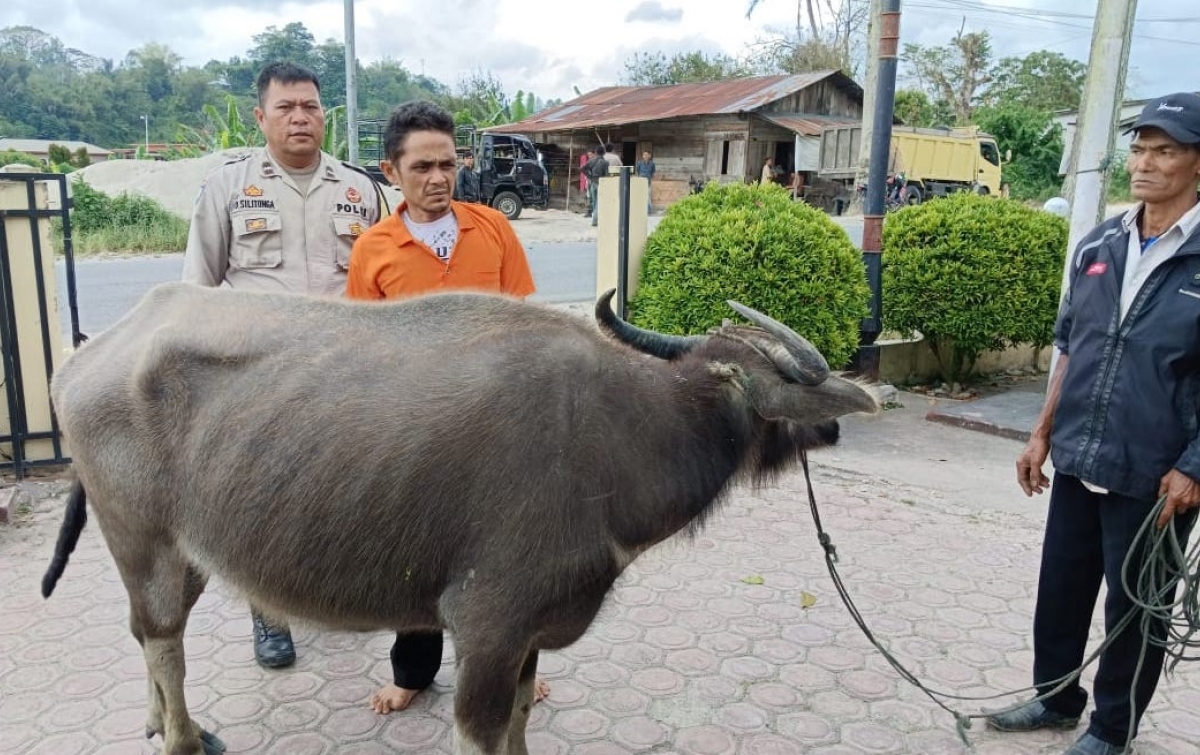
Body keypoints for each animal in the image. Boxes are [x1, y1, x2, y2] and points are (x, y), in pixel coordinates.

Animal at [42, 284, 878, 753]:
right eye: (792, 383)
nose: (842, 420)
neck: (622, 433)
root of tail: (90, 353)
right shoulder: (489, 626)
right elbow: (484, 732)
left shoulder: (529, 636)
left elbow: (521, 726)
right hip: (142, 541)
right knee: (163, 641)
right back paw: (180, 737)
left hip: (180, 554)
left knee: (149, 633)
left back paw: (157, 722)